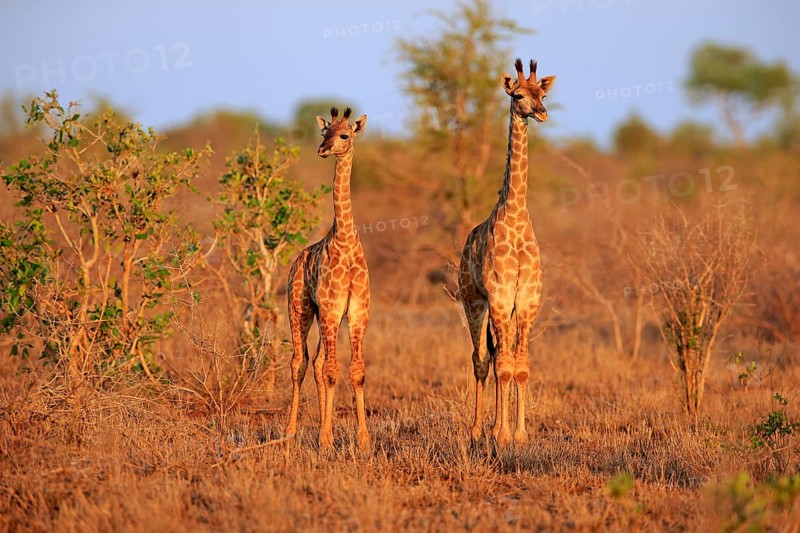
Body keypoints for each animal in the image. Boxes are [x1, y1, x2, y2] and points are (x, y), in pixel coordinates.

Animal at [284, 107, 371, 450]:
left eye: (344, 135)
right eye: (324, 133)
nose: (323, 149)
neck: (345, 241)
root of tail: (296, 261)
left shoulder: (357, 311)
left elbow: (356, 371)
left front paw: (363, 440)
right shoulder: (332, 309)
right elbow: (334, 371)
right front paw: (325, 438)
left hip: (321, 316)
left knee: (318, 362)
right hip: (300, 309)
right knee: (300, 362)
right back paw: (291, 432)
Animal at [458, 58, 556, 447]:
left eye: (542, 93)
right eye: (517, 96)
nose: (541, 113)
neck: (514, 215)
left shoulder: (527, 299)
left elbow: (520, 365)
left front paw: (520, 434)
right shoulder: (498, 297)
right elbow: (500, 364)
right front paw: (499, 433)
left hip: (508, 309)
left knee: (503, 355)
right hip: (473, 300)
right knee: (481, 358)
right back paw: (476, 429)